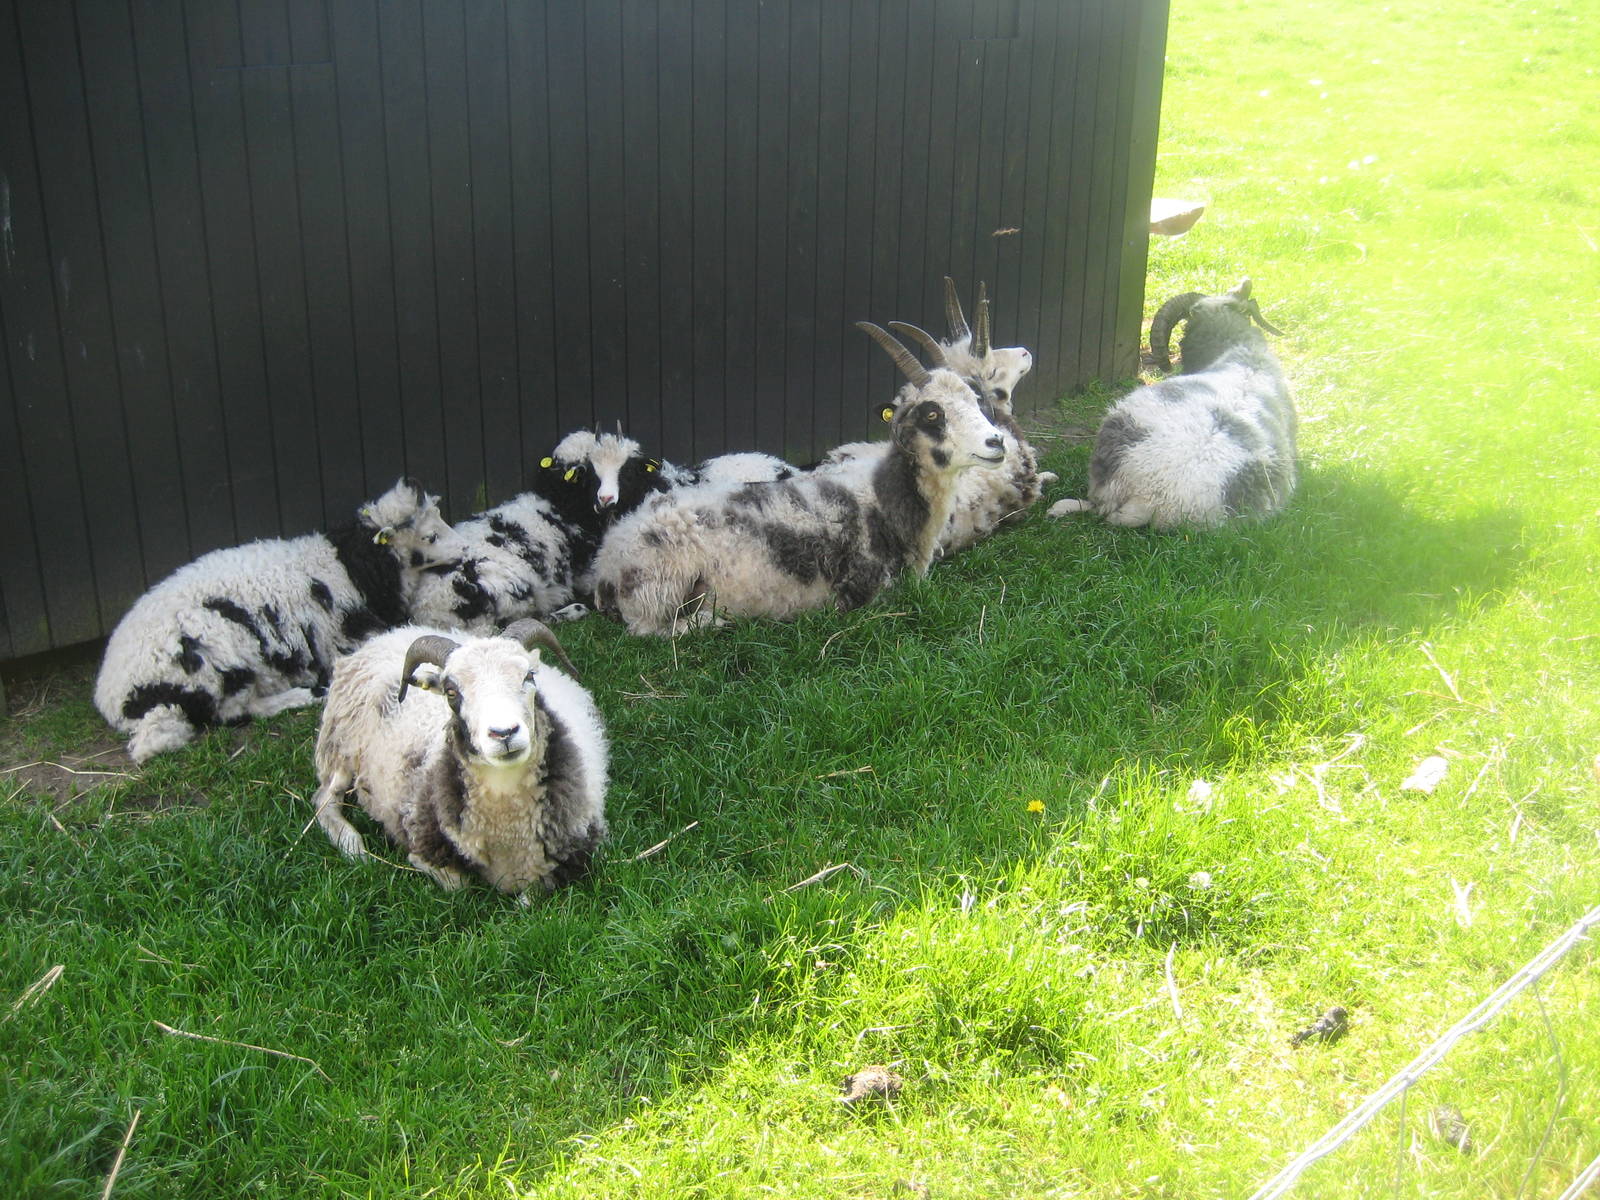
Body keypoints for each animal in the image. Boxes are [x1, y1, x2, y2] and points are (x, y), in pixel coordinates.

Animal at [94, 478, 457, 763]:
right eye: (429, 537)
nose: (465, 549)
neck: (354, 567)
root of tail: (117, 700)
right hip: (221, 660)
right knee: (238, 711)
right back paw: (303, 695)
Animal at [309, 618, 608, 900]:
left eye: (529, 677)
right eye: (451, 691)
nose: (504, 733)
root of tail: (382, 637)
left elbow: (531, 897)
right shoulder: (424, 848)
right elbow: (460, 888)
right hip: (338, 745)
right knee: (324, 800)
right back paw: (354, 849)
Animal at [591, 323, 1007, 636]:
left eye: (974, 400)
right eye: (932, 414)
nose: (997, 441)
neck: (886, 498)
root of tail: (607, 562)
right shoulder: (860, 594)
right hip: (658, 589)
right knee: (653, 629)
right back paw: (717, 620)